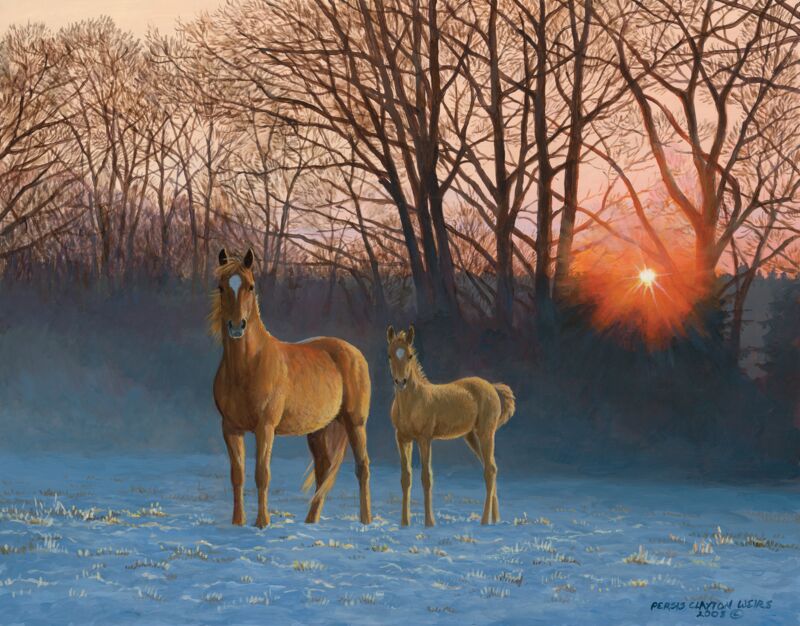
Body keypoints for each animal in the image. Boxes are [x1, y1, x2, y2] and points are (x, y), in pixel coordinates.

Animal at [210, 247, 372, 527]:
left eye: (250, 286)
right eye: (221, 287)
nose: (236, 327)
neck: (248, 366)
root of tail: (353, 351)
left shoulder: (265, 428)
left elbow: (262, 474)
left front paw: (262, 523)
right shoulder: (230, 428)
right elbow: (237, 475)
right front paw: (237, 523)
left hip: (355, 423)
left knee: (362, 467)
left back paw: (365, 521)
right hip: (319, 430)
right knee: (323, 469)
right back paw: (311, 521)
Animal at [386, 325, 515, 526]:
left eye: (410, 355)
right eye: (390, 355)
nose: (401, 382)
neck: (413, 401)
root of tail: (492, 386)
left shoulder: (424, 439)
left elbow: (426, 477)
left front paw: (429, 523)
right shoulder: (402, 439)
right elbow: (406, 478)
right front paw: (404, 523)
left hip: (486, 433)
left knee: (489, 470)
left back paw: (484, 521)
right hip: (471, 437)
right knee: (491, 467)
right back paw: (495, 519)